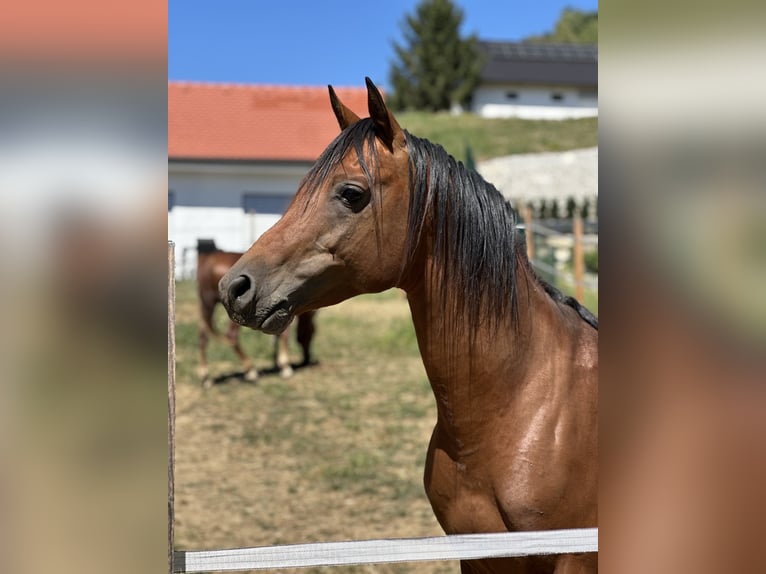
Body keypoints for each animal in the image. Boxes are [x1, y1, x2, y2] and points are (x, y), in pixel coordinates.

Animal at [196, 239, 315, 388]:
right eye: (312, 332)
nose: (307, 358)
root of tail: (209, 260)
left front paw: (277, 363)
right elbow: (284, 335)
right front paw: (285, 367)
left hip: (207, 305)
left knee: (203, 337)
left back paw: (206, 377)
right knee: (231, 336)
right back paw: (251, 371)